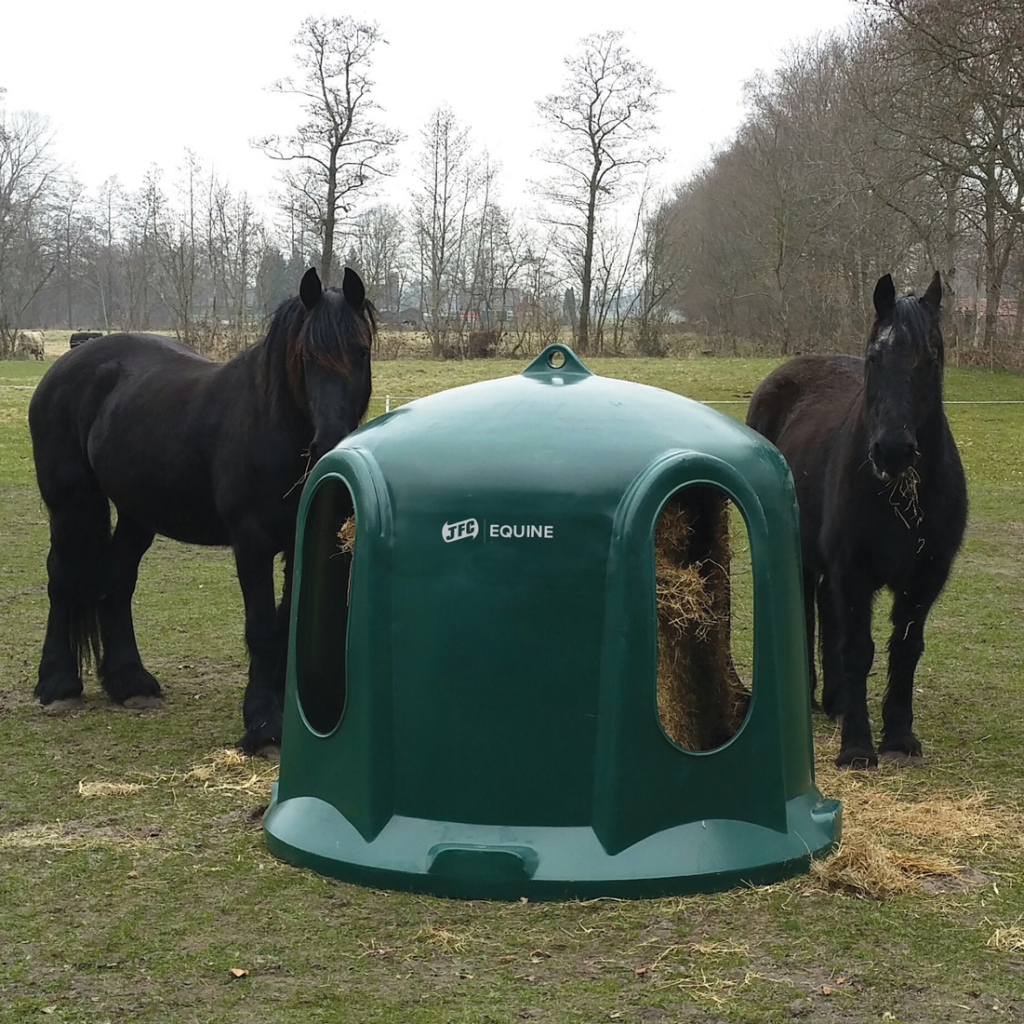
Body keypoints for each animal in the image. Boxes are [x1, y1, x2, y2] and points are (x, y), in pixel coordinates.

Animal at [29, 268, 376, 757]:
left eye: (360, 351)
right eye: (306, 355)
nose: (329, 443)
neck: (269, 424)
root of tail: (64, 367)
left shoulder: (296, 543)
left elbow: (286, 625)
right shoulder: (251, 544)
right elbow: (262, 629)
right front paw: (264, 727)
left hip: (137, 514)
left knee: (117, 582)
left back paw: (131, 683)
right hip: (71, 505)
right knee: (62, 579)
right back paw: (58, 686)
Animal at [745, 272, 966, 770]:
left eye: (932, 358)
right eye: (873, 357)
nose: (892, 450)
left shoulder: (926, 577)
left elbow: (905, 649)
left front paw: (899, 736)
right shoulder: (853, 571)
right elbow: (858, 649)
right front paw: (858, 747)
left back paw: (838, 700)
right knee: (810, 610)